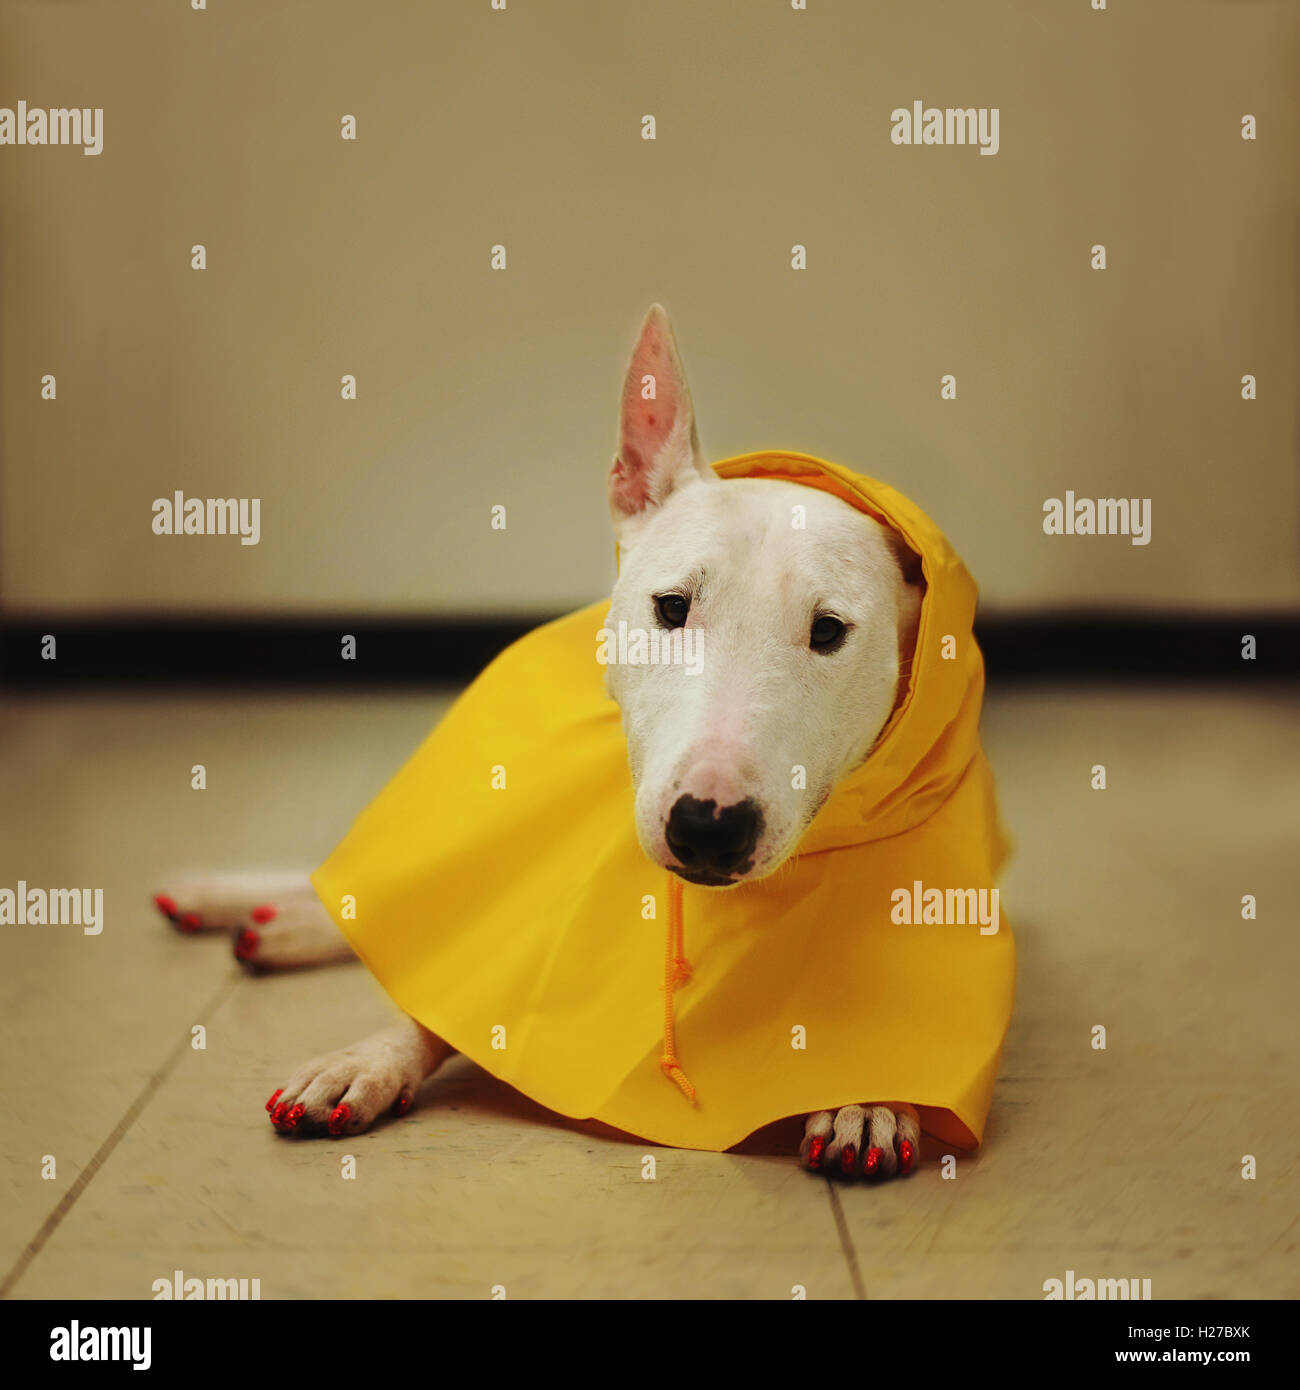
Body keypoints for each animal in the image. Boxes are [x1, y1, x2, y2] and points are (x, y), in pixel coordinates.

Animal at [159, 309, 945, 1178]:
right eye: (672, 606)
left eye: (830, 631)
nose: (708, 828)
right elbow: (451, 992)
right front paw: (367, 1061)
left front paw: (869, 1096)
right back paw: (240, 904)